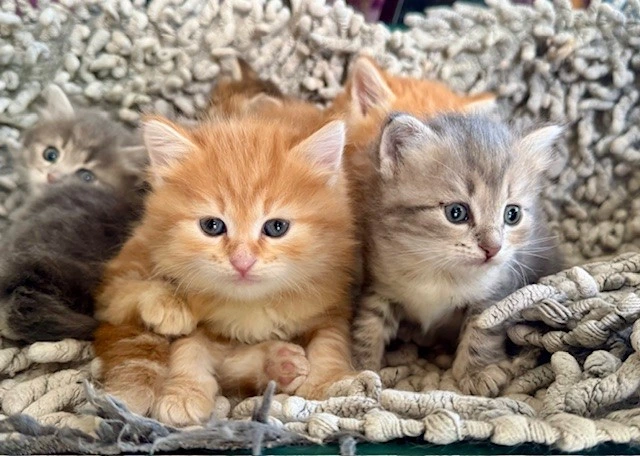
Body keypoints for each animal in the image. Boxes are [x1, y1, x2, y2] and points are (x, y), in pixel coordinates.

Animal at [93, 114, 356, 426]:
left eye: (276, 227)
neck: (251, 307)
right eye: (212, 226)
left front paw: (327, 380)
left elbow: (330, 341)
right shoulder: (201, 324)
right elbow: (189, 348)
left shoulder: (332, 300)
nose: (242, 261)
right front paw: (184, 392)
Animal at [351, 112, 563, 396]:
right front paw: (357, 368)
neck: (438, 271)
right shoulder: (379, 285)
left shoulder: (495, 293)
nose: (493, 248)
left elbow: (482, 332)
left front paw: (477, 372)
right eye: (456, 212)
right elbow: (368, 327)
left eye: (512, 214)